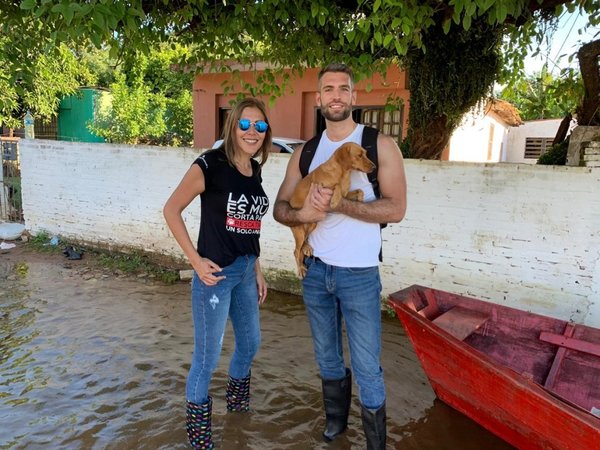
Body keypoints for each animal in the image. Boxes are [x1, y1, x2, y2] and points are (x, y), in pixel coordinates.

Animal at [290, 142, 376, 278]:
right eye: (359, 155)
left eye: (366, 154)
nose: (374, 167)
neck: (344, 173)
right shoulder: (321, 188)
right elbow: (336, 186)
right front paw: (334, 200)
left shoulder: (345, 195)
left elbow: (359, 190)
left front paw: (360, 200)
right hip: (299, 231)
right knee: (296, 251)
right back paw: (301, 269)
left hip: (312, 224)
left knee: (304, 242)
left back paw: (306, 247)